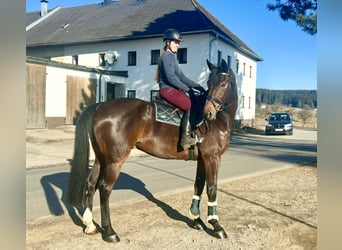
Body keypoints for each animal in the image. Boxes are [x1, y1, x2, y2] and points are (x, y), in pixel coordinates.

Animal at [67, 58, 238, 242]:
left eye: (222, 83)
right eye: (209, 83)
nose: (208, 113)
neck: (218, 121)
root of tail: (100, 106)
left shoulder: (202, 159)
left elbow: (198, 185)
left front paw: (196, 220)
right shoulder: (212, 157)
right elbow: (212, 188)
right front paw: (216, 226)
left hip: (101, 158)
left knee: (91, 184)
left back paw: (90, 225)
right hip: (115, 160)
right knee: (105, 188)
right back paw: (110, 232)